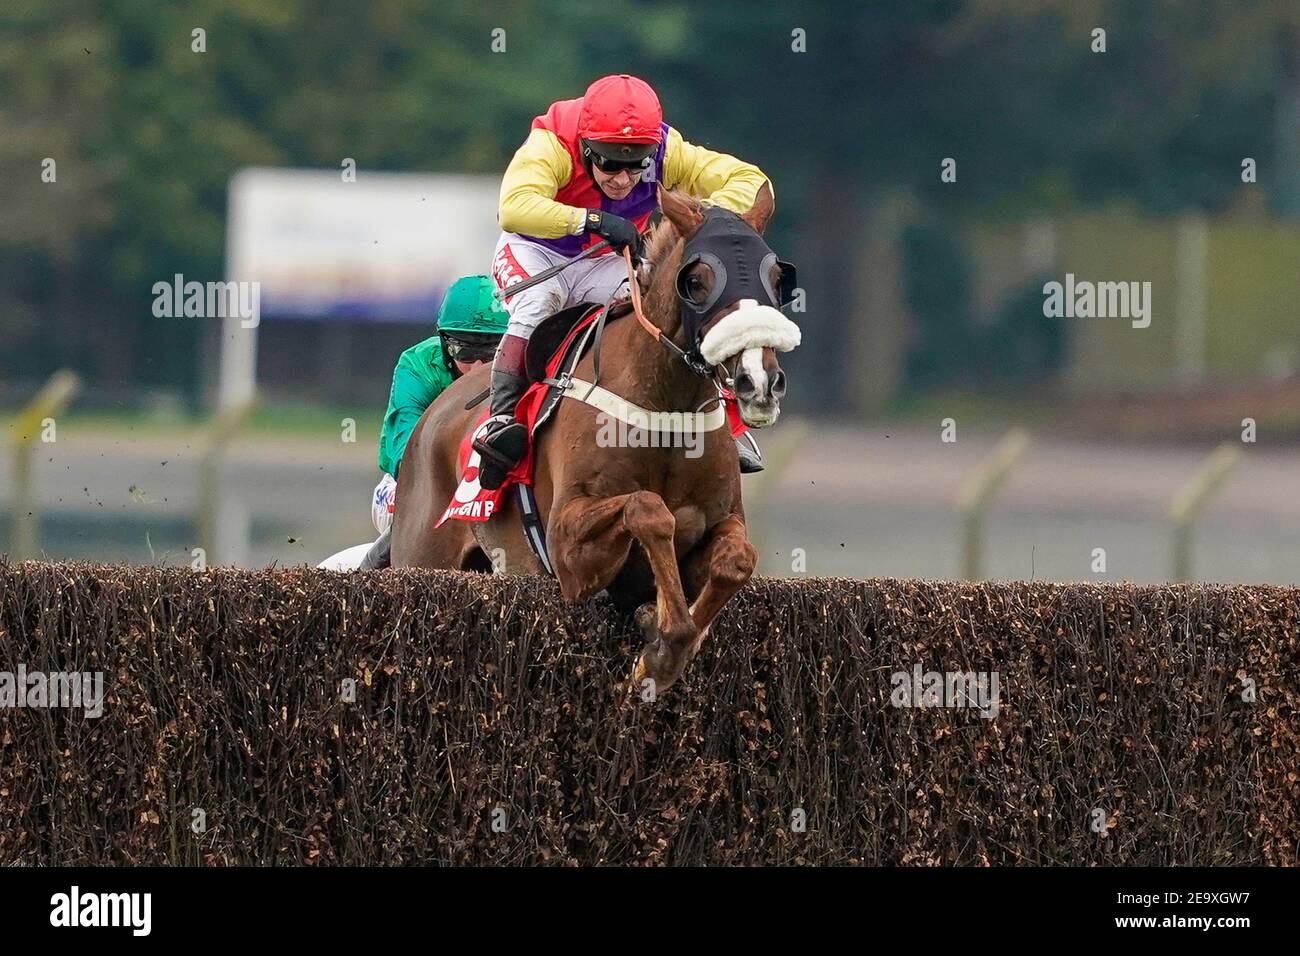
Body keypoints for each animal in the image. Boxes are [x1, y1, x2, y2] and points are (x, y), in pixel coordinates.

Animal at [387, 187, 790, 697]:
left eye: (776, 278)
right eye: (697, 281)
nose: (760, 382)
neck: (665, 408)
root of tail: (432, 416)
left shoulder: (720, 522)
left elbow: (737, 560)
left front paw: (663, 629)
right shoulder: (567, 551)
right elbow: (648, 509)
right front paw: (660, 650)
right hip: (422, 555)